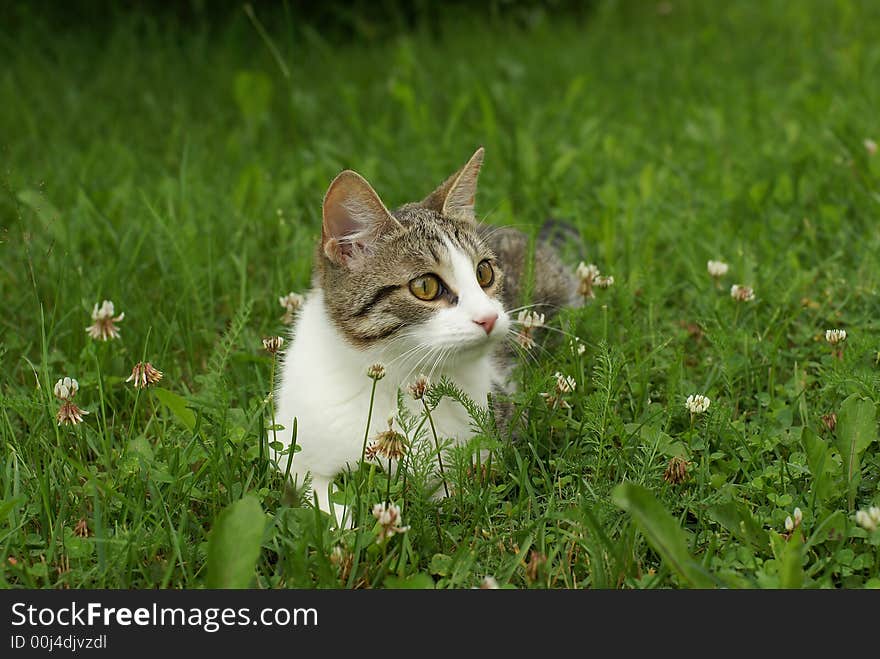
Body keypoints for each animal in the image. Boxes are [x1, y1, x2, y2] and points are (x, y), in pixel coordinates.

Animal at [274, 148, 576, 520]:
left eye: (484, 272)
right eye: (425, 286)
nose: (490, 318)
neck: (396, 376)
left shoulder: (490, 440)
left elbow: (452, 492)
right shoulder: (287, 443)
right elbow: (316, 492)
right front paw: (344, 523)